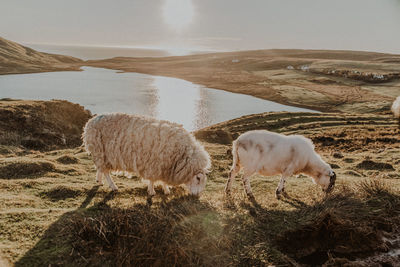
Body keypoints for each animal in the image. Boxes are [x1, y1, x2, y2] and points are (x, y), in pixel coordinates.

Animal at [82, 113, 211, 197]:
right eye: (198, 178)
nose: (197, 196)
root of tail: (90, 122)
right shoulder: (155, 164)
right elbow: (152, 180)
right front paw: (152, 191)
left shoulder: (166, 167)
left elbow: (163, 180)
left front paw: (166, 190)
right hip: (101, 151)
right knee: (106, 171)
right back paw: (113, 186)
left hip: (101, 154)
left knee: (101, 168)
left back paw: (99, 180)